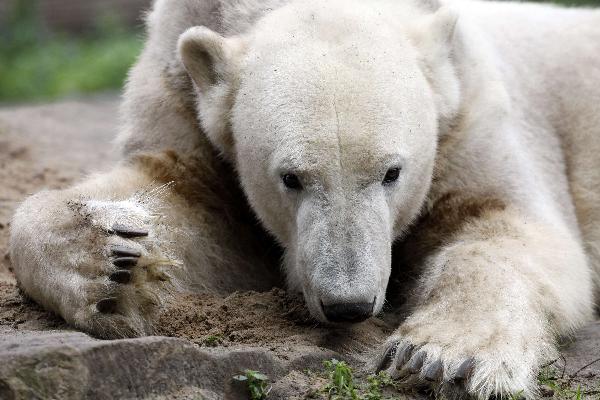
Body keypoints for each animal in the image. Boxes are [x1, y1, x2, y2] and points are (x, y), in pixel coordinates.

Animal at [7, 0, 600, 398]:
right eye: (291, 178)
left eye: (392, 172)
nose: (348, 303)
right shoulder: (183, 95)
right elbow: (188, 208)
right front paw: (113, 264)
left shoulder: (468, 109)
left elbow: (509, 225)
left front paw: (441, 358)